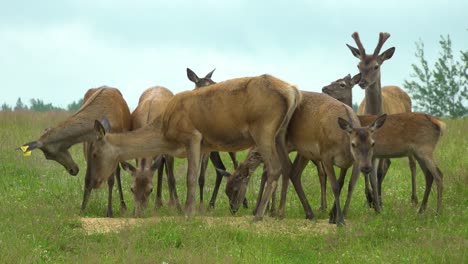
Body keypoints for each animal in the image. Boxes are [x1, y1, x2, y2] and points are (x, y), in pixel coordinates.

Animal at [20, 86, 132, 217]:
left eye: (48, 155)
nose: (73, 170)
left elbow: (110, 179)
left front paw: (109, 212)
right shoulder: (88, 146)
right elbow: (88, 179)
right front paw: (82, 209)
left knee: (117, 172)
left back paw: (123, 205)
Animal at [119, 86, 181, 217]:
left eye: (150, 189)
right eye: (132, 188)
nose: (139, 213)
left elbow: (172, 178)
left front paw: (180, 209)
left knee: (166, 171)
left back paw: (169, 204)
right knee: (160, 167)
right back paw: (158, 204)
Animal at [344, 31, 414, 208]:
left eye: (376, 66)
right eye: (358, 66)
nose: (362, 82)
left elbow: (379, 171)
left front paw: (378, 201)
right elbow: (367, 171)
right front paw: (369, 198)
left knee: (409, 163)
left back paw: (413, 199)